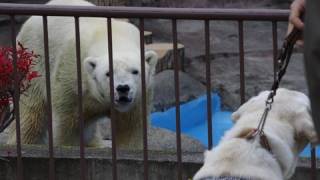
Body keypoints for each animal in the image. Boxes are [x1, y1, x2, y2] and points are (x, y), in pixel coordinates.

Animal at [6, 0, 158, 149]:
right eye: (108, 73)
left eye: (135, 71)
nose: (123, 88)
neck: (112, 37)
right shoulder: (71, 75)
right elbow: (68, 125)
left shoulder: (139, 96)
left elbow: (130, 129)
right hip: (33, 59)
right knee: (32, 111)